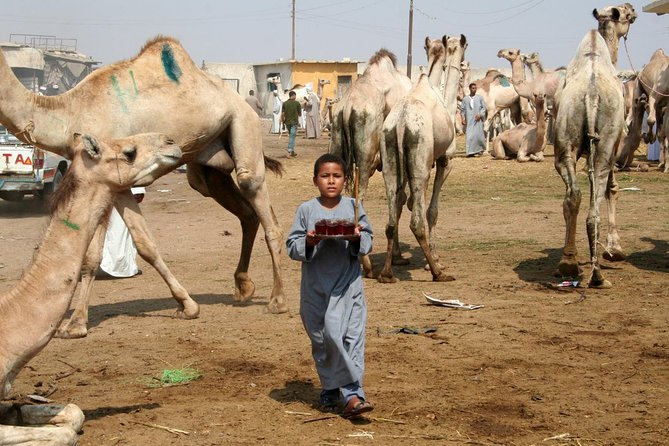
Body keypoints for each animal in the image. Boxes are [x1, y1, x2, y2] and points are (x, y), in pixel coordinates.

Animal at [0, 36, 288, 339]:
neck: (70, 111)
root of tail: (241, 101)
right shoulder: (108, 180)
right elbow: (132, 246)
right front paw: (185, 306)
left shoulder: (112, 174)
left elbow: (111, 250)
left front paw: (76, 322)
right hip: (208, 166)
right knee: (242, 210)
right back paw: (243, 287)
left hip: (243, 125)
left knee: (257, 196)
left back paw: (277, 300)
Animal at [329, 48, 412, 276]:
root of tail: (347, 107)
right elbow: (399, 199)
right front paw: (398, 257)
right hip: (365, 157)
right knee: (359, 198)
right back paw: (366, 264)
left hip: (336, 138)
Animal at [377, 34, 467, 283]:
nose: (464, 64)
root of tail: (400, 124)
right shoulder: (445, 160)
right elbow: (432, 210)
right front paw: (435, 260)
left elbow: (406, 202)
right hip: (420, 162)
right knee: (417, 221)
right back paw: (439, 274)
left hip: (390, 160)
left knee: (391, 218)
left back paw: (387, 273)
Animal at [553, 30, 625, 288]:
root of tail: (592, 95)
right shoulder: (616, 145)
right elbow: (613, 188)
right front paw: (615, 250)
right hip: (605, 145)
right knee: (597, 194)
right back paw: (595, 275)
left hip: (566, 140)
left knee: (574, 195)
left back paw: (571, 264)